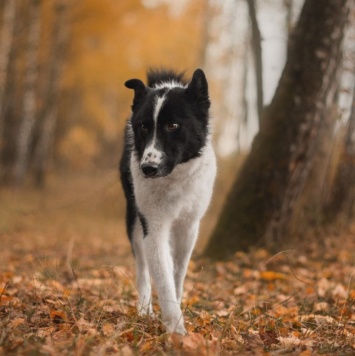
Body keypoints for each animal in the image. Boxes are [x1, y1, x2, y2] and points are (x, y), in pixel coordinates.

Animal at [120, 69, 217, 334]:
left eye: (173, 125)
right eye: (143, 127)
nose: (147, 169)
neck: (173, 180)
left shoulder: (189, 227)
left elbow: (177, 273)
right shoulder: (153, 227)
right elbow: (163, 279)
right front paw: (176, 331)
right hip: (133, 220)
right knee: (142, 269)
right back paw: (144, 310)